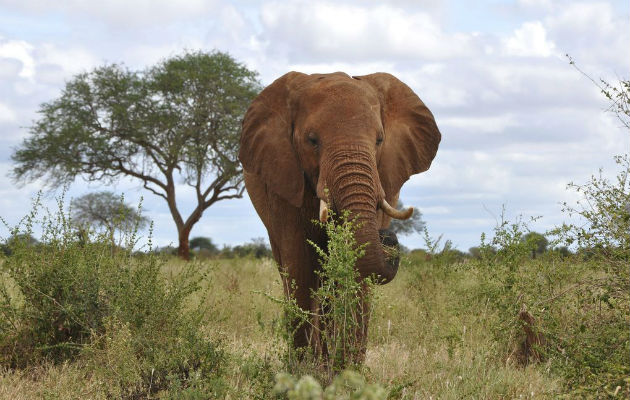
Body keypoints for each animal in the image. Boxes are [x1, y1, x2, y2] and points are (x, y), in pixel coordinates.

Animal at [239, 70, 442, 358]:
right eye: (312, 140)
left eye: (379, 140)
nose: (388, 237)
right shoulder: (283, 180)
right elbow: (300, 264)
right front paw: (305, 366)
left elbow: (357, 271)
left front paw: (345, 367)